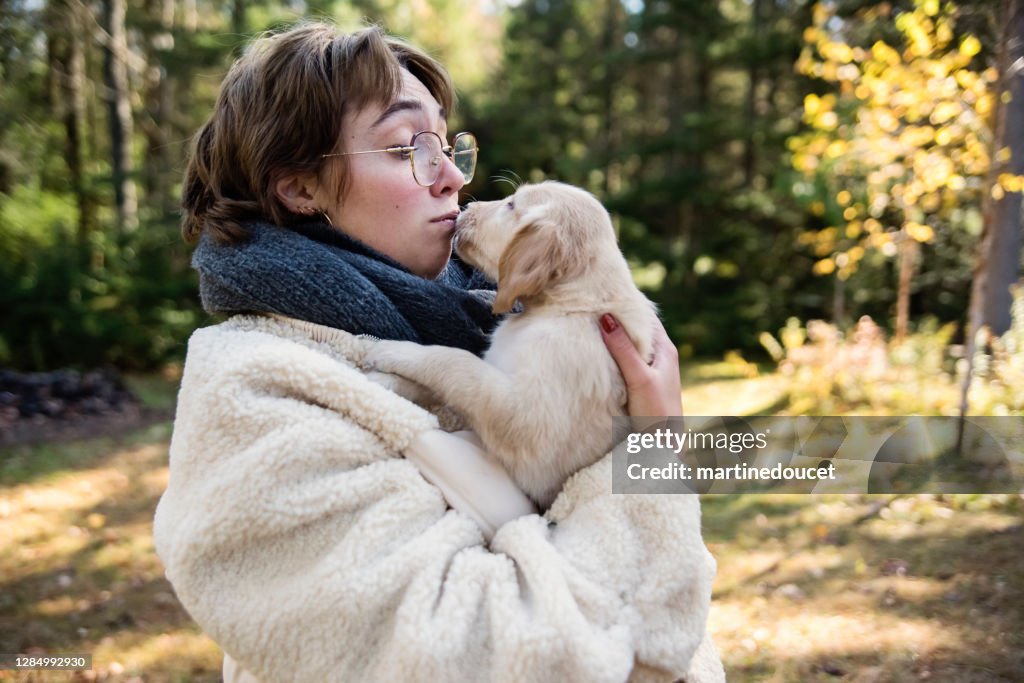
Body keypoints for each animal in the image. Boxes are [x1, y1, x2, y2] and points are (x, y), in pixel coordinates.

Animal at [364, 181, 659, 507]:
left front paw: (394, 351)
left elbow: (458, 365)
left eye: (511, 205)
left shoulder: (528, 420)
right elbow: (447, 383)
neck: (569, 304)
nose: (466, 207)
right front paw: (384, 382)